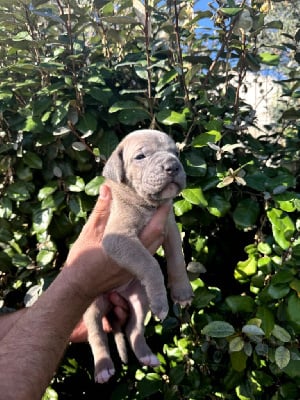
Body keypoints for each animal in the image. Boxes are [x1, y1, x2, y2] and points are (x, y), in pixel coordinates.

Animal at [83, 130, 193, 382]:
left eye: (176, 152)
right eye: (141, 156)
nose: (173, 166)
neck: (146, 204)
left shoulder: (170, 228)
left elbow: (177, 258)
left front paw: (182, 291)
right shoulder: (117, 238)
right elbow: (150, 262)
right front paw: (164, 301)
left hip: (139, 298)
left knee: (134, 328)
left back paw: (146, 355)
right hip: (91, 306)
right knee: (96, 335)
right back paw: (103, 368)